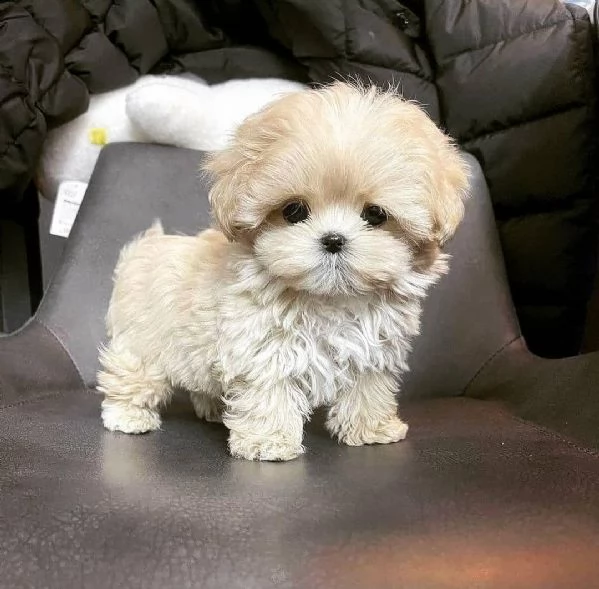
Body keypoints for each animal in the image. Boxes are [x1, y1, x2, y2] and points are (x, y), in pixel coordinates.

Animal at [98, 81, 472, 460]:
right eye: (294, 210)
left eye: (376, 214)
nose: (333, 240)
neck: (328, 300)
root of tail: (143, 248)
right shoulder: (262, 347)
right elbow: (268, 389)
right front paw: (268, 441)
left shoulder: (373, 349)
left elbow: (368, 388)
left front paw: (371, 429)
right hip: (143, 341)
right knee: (130, 374)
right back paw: (128, 415)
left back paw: (214, 410)